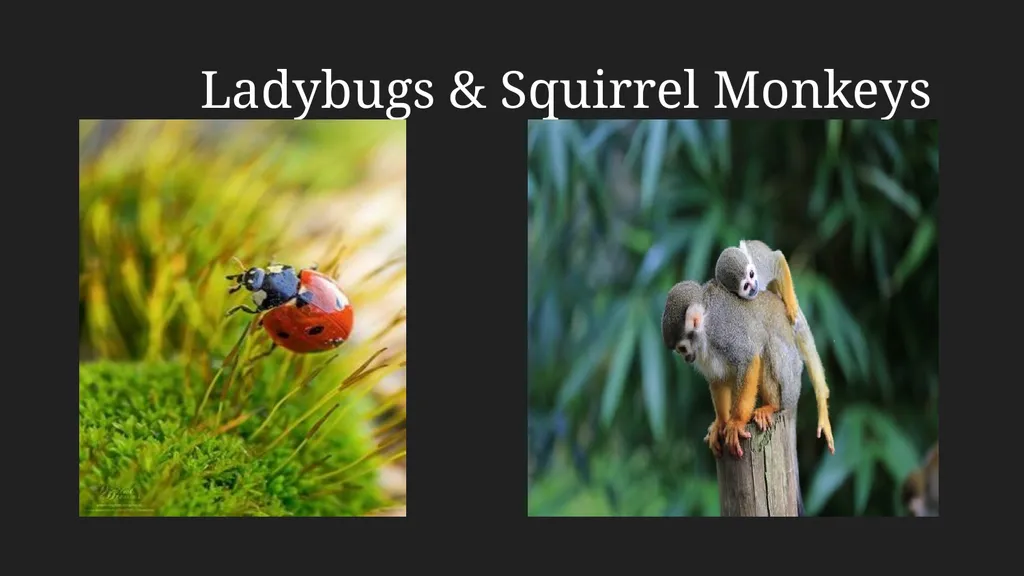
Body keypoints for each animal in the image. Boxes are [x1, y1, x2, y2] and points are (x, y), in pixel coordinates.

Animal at [714, 240, 835, 454]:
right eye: (745, 286)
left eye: (751, 274)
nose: (753, 286)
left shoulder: (761, 267)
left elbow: (778, 259)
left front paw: (792, 307)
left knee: (797, 331)